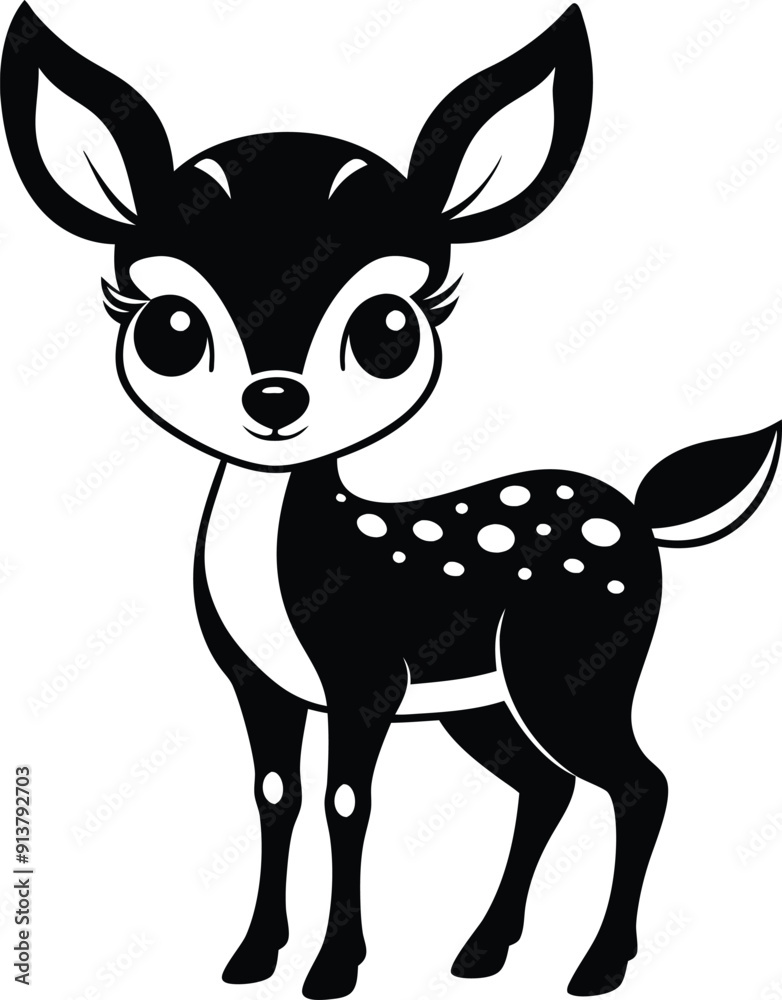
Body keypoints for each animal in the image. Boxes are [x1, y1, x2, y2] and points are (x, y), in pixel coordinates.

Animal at [3, 2, 780, 997]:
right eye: (171, 326)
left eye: (386, 327)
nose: (274, 399)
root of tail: (642, 516)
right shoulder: (261, 684)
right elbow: (277, 797)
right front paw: (251, 956)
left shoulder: (364, 676)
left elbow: (348, 801)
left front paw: (333, 968)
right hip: (484, 697)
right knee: (548, 784)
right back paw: (483, 951)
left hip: (573, 665)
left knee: (640, 783)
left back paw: (597, 966)